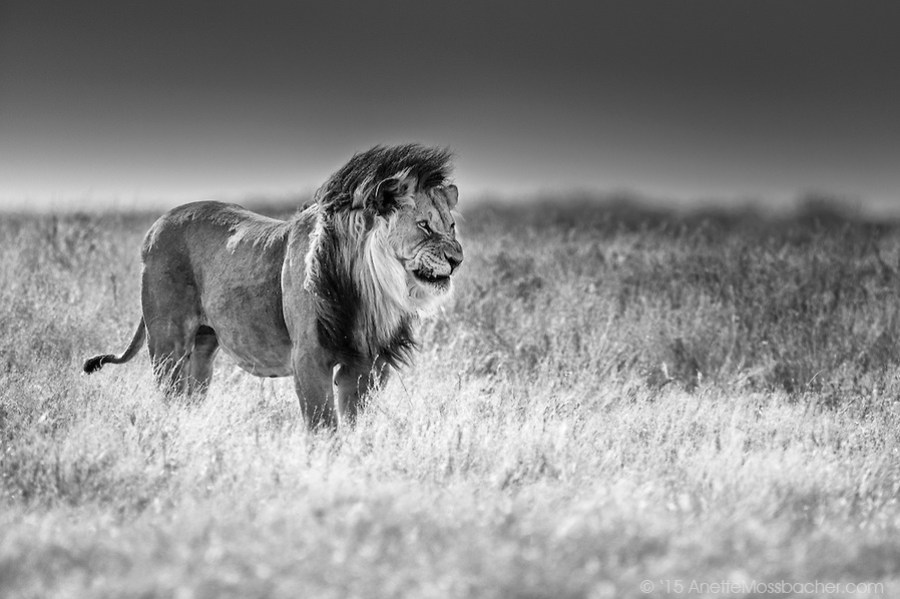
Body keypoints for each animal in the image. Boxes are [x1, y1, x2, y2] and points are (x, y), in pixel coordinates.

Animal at [83, 144, 463, 429]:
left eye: (452, 226)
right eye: (424, 225)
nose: (457, 259)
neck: (371, 289)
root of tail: (157, 224)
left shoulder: (366, 363)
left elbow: (353, 423)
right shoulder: (309, 357)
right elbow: (323, 425)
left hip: (203, 348)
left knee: (190, 395)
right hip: (167, 342)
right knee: (170, 394)